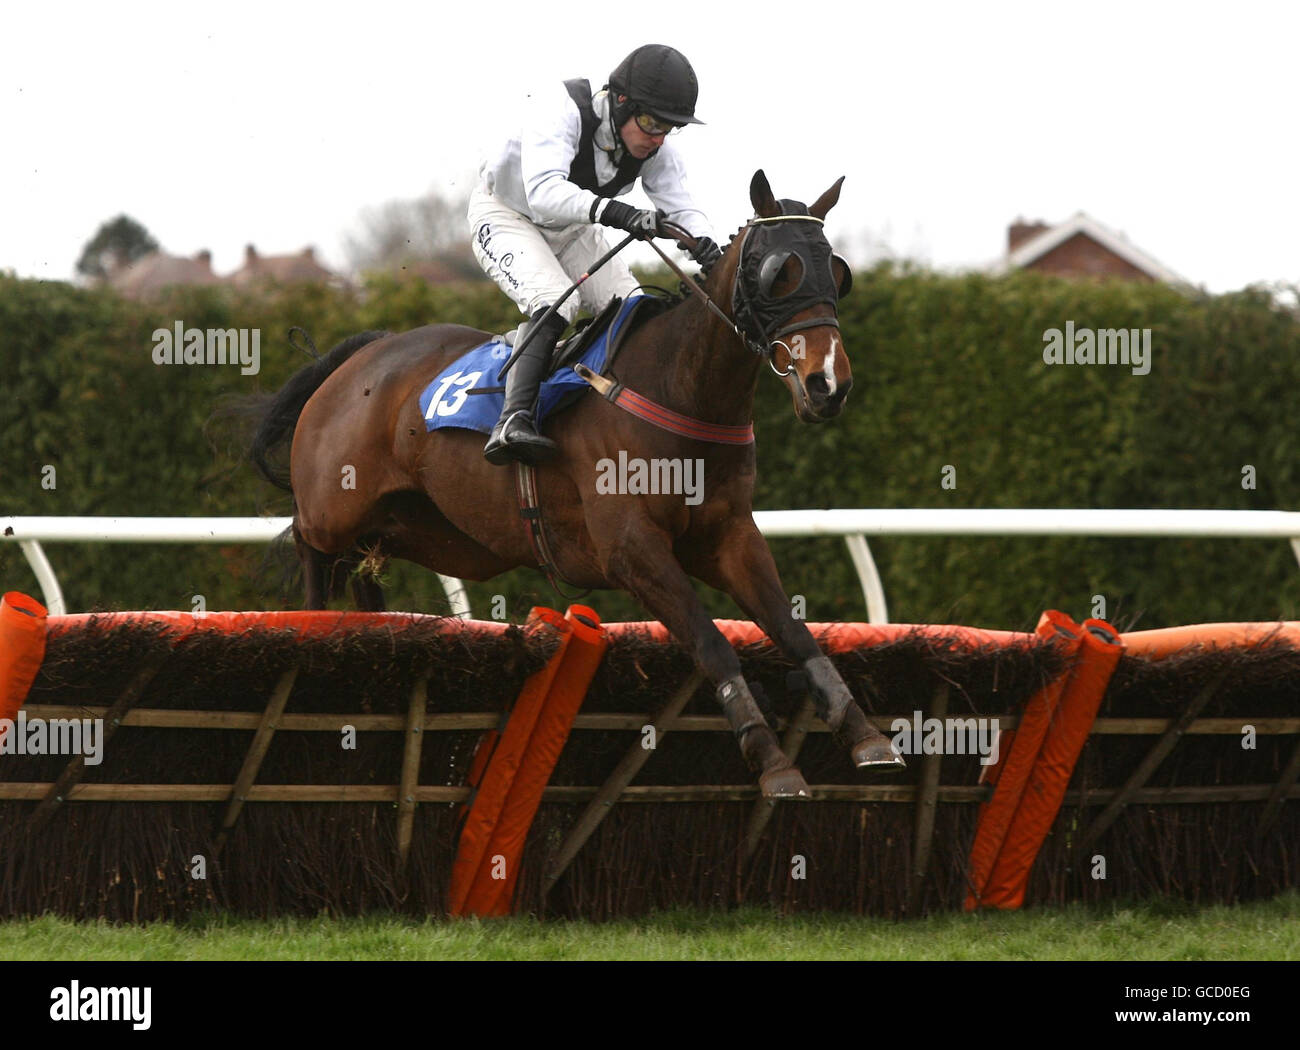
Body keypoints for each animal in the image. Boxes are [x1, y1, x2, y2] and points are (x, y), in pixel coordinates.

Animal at [250, 170, 904, 795]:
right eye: (778, 273)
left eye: (837, 272)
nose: (828, 384)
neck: (679, 387)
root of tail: (361, 356)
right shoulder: (631, 550)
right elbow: (712, 643)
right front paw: (771, 761)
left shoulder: (729, 537)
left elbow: (796, 632)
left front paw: (867, 736)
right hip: (334, 509)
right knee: (310, 549)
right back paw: (313, 633)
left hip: (422, 528)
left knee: (366, 576)